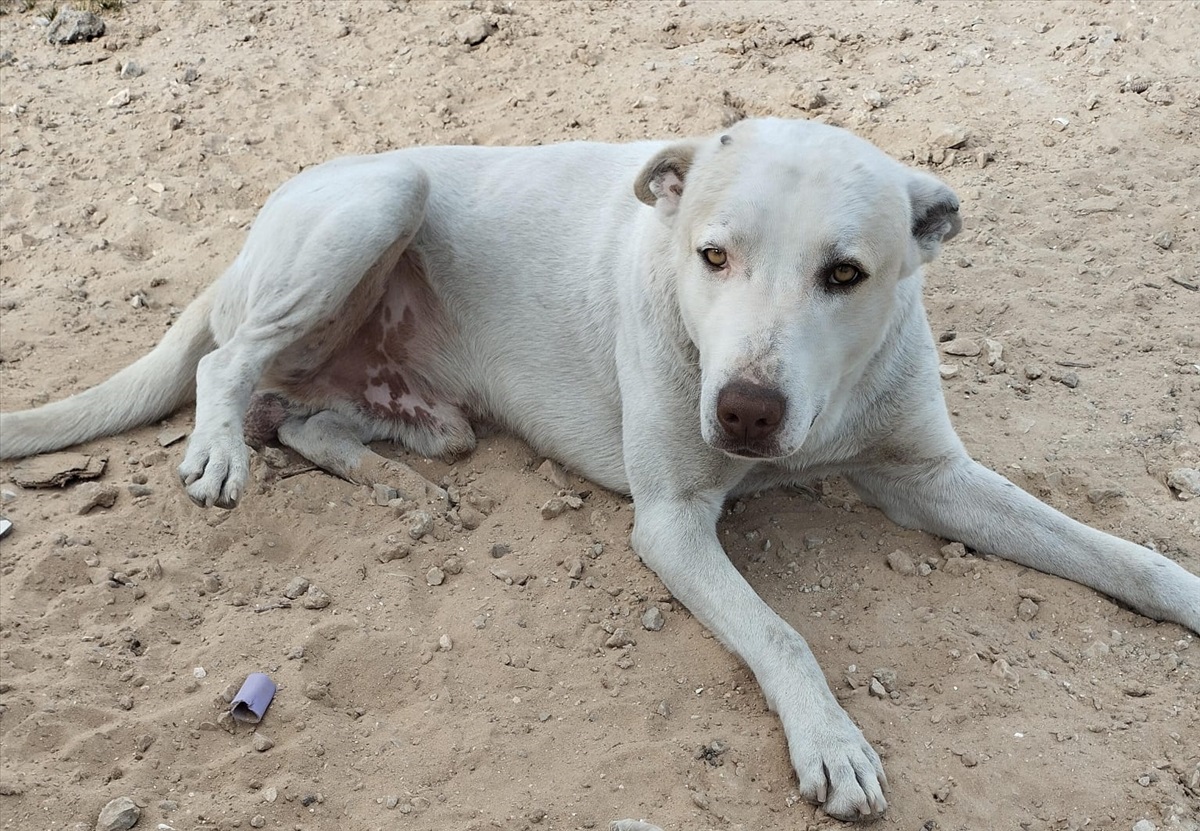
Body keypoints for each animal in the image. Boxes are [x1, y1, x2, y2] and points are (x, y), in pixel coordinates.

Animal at [2, 120, 1200, 821]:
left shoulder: (933, 478)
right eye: (711, 255)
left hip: (424, 407)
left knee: (300, 416)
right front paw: (832, 742)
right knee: (227, 365)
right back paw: (217, 449)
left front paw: (1182, 589)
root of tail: (245, 249)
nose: (745, 409)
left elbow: (1118, 554)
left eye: (847, 274)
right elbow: (781, 632)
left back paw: (394, 484)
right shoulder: (671, 522)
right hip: (376, 203)